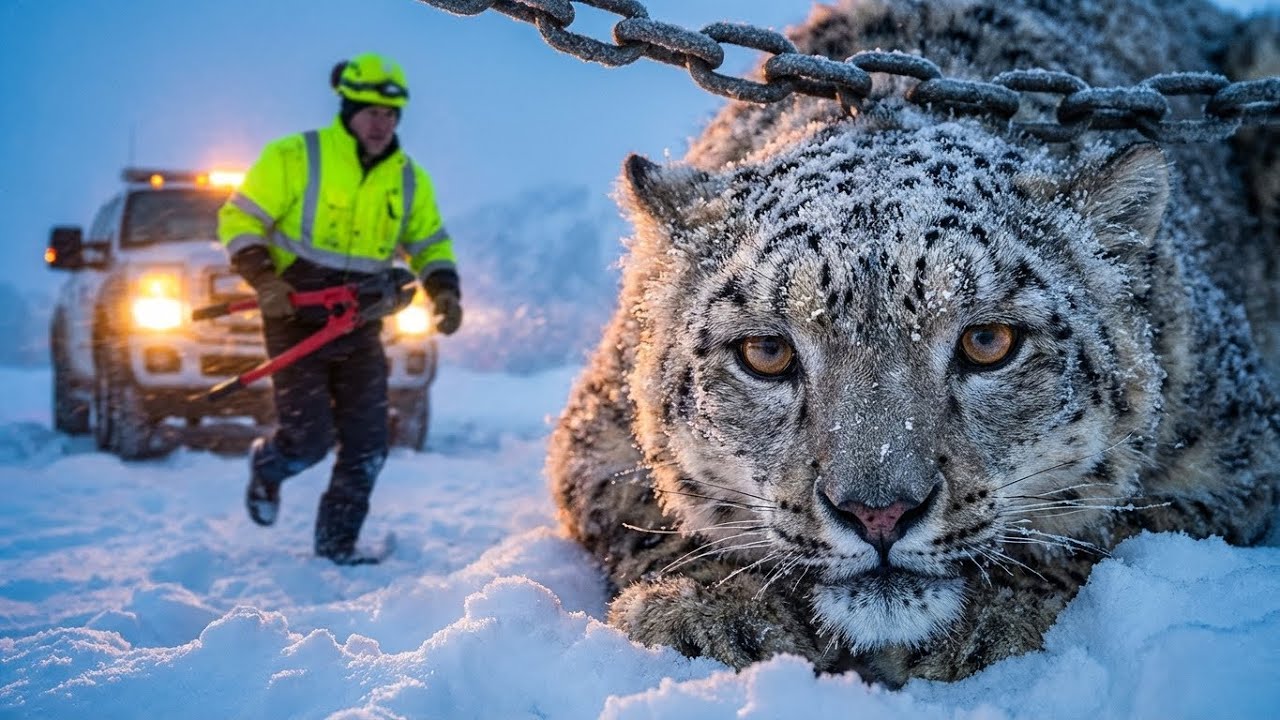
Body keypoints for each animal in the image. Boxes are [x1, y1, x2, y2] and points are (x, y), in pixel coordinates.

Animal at [547, 0, 1280, 686]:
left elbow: (1115, 525)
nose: (879, 513)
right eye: (767, 354)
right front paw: (713, 616)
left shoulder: (1229, 457)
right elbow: (632, 504)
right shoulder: (596, 433)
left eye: (988, 341)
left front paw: (994, 622)